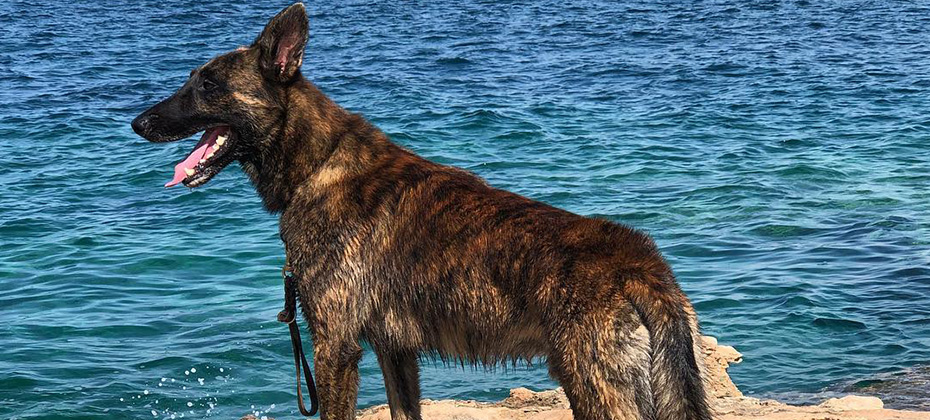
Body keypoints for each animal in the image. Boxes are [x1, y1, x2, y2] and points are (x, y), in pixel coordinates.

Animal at [130, 4, 712, 420]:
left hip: (597, 387)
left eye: (208, 85)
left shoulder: (335, 347)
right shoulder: (395, 352)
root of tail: (643, 268)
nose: (138, 123)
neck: (316, 163)